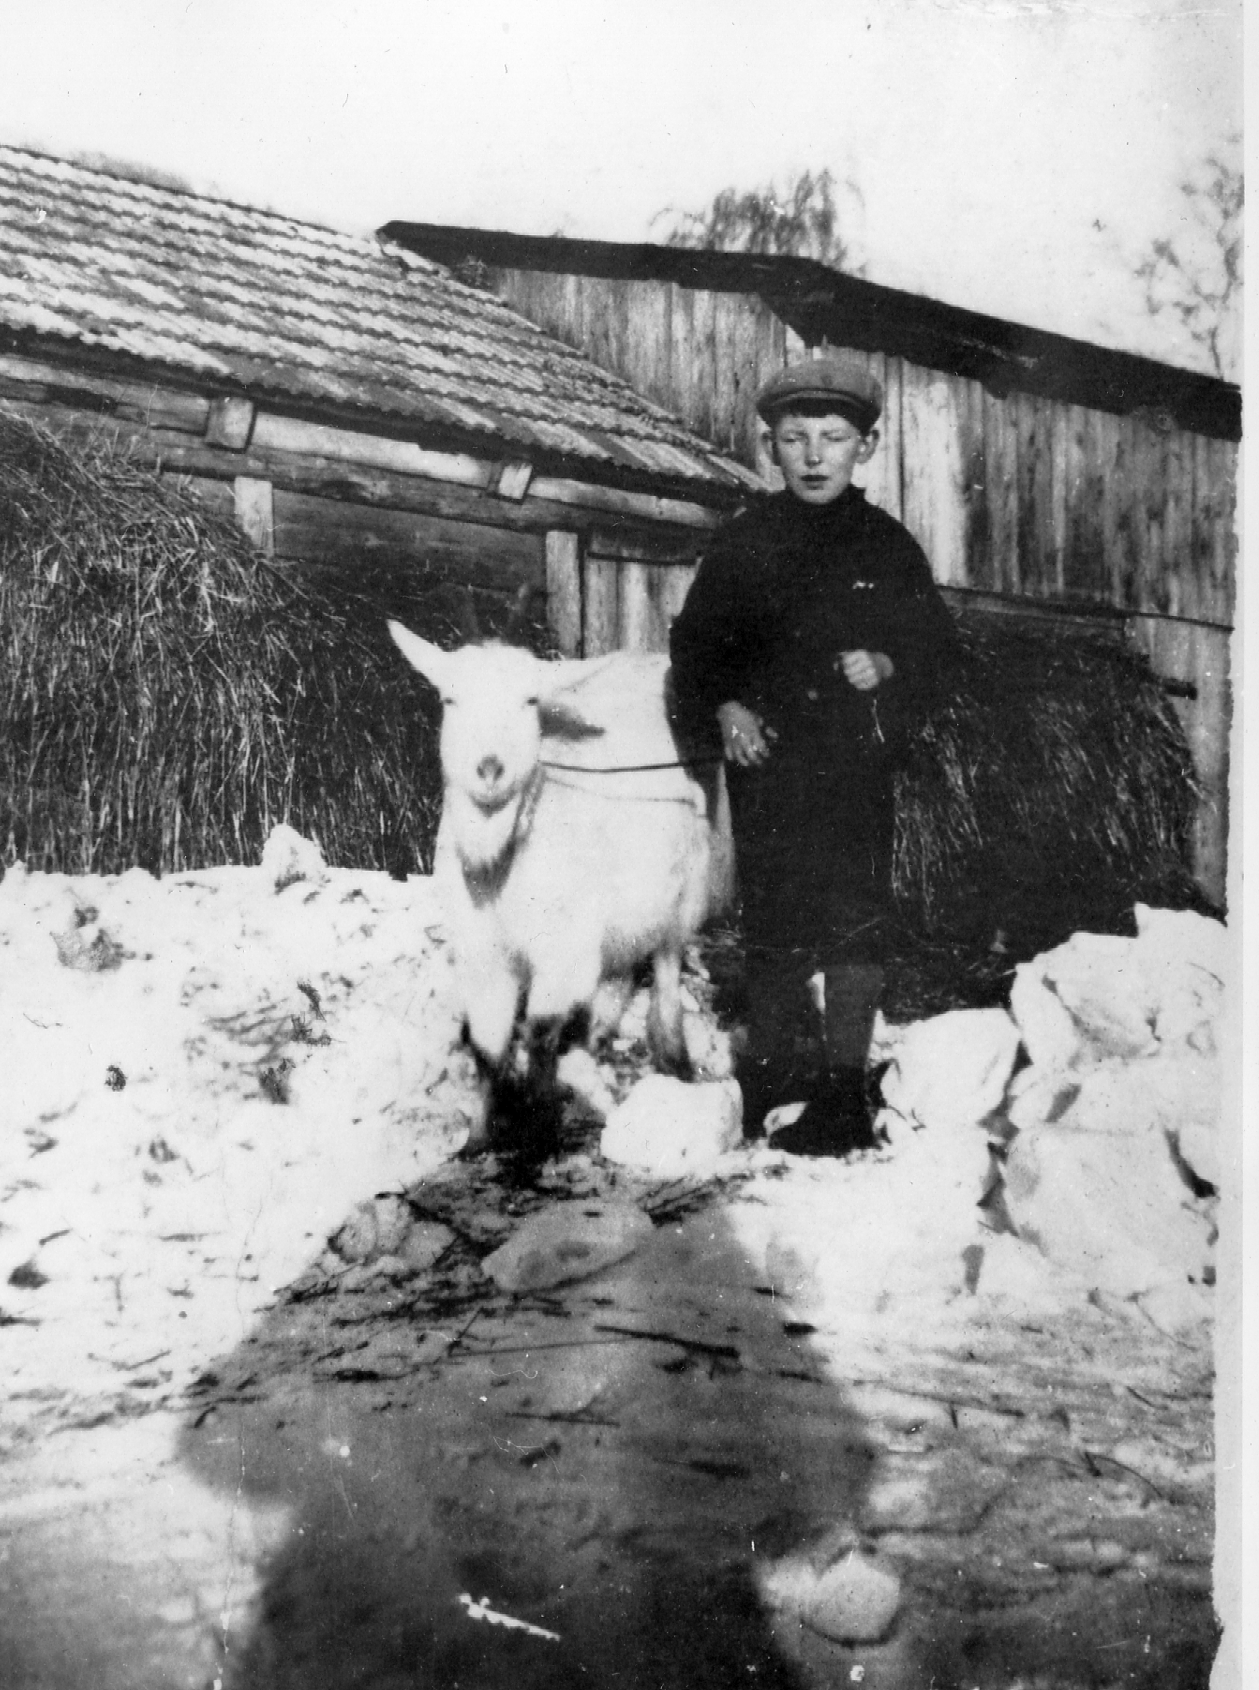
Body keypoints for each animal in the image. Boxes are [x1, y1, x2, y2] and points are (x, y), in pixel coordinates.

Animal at [388, 621, 733, 1135]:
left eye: (530, 701)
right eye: (450, 699)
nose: (489, 768)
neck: (499, 859)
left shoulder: (562, 947)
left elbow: (540, 1033)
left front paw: (539, 1123)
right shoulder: (480, 948)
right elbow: (488, 1045)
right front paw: (480, 1134)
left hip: (688, 880)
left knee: (667, 961)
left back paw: (671, 1054)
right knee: (620, 969)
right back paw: (598, 1037)